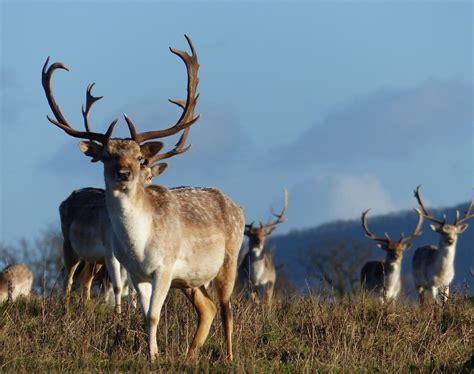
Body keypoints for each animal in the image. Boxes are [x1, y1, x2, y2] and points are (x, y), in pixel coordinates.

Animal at [42, 35, 246, 362]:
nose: (124, 172)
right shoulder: (138, 273)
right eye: (107, 156)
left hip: (229, 258)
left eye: (140, 157)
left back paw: (228, 357)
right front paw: (152, 355)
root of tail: (238, 206)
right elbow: (144, 314)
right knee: (208, 308)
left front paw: (154, 355)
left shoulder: (164, 267)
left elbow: (153, 314)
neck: (139, 245)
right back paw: (190, 356)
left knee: (227, 309)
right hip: (189, 279)